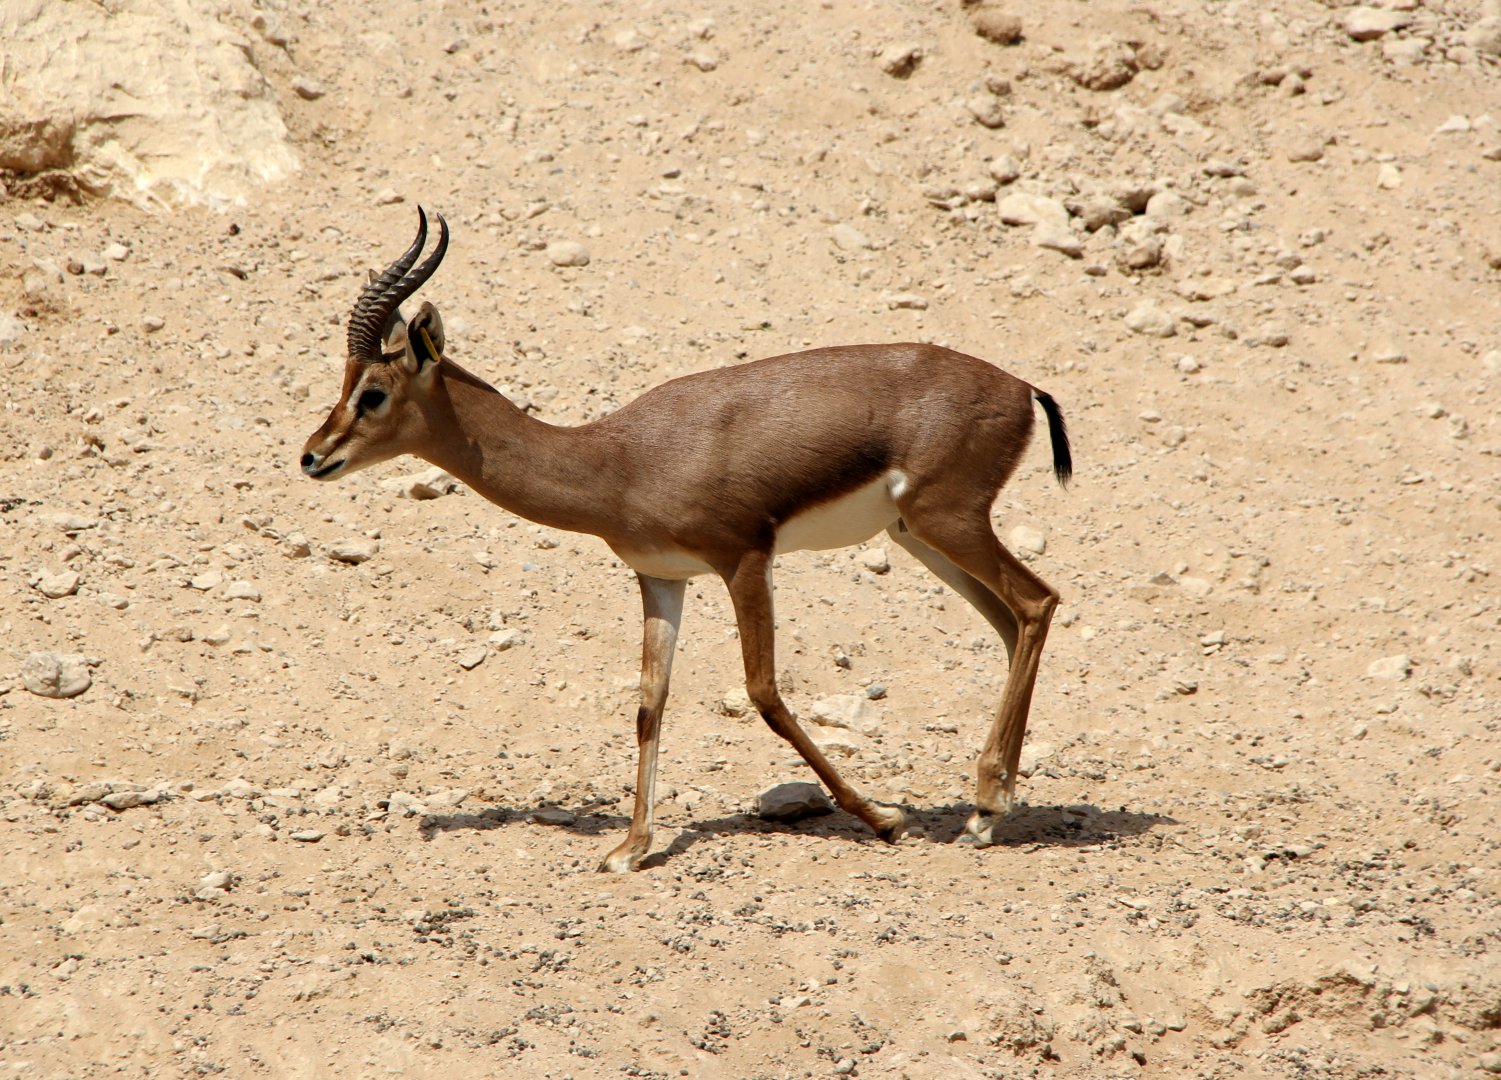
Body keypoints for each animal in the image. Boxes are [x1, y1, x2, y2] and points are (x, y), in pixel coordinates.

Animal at [301, 208, 1072, 872]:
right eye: (342, 382)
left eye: (373, 391)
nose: (312, 456)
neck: (618, 460)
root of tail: (1019, 387)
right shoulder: (661, 578)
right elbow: (650, 703)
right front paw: (630, 849)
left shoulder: (744, 559)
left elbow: (763, 693)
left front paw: (885, 819)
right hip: (919, 537)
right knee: (1011, 622)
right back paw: (988, 809)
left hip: (950, 522)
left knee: (1037, 603)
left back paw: (985, 808)